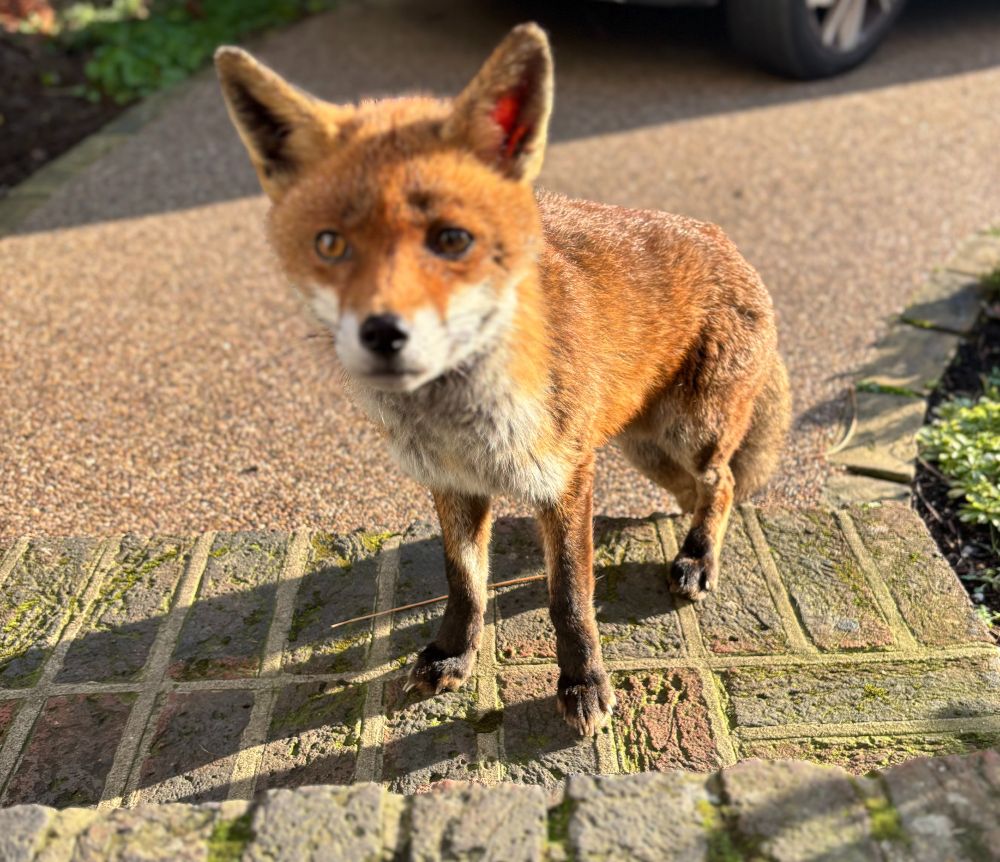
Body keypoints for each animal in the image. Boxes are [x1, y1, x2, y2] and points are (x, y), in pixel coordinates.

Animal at [215, 23, 790, 736]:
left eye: (452, 239)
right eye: (330, 244)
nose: (383, 335)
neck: (464, 424)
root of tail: (725, 240)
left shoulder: (565, 481)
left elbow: (570, 597)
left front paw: (582, 682)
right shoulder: (453, 485)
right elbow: (464, 584)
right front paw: (452, 653)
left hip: (690, 432)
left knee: (724, 482)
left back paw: (698, 556)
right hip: (644, 448)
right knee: (700, 489)